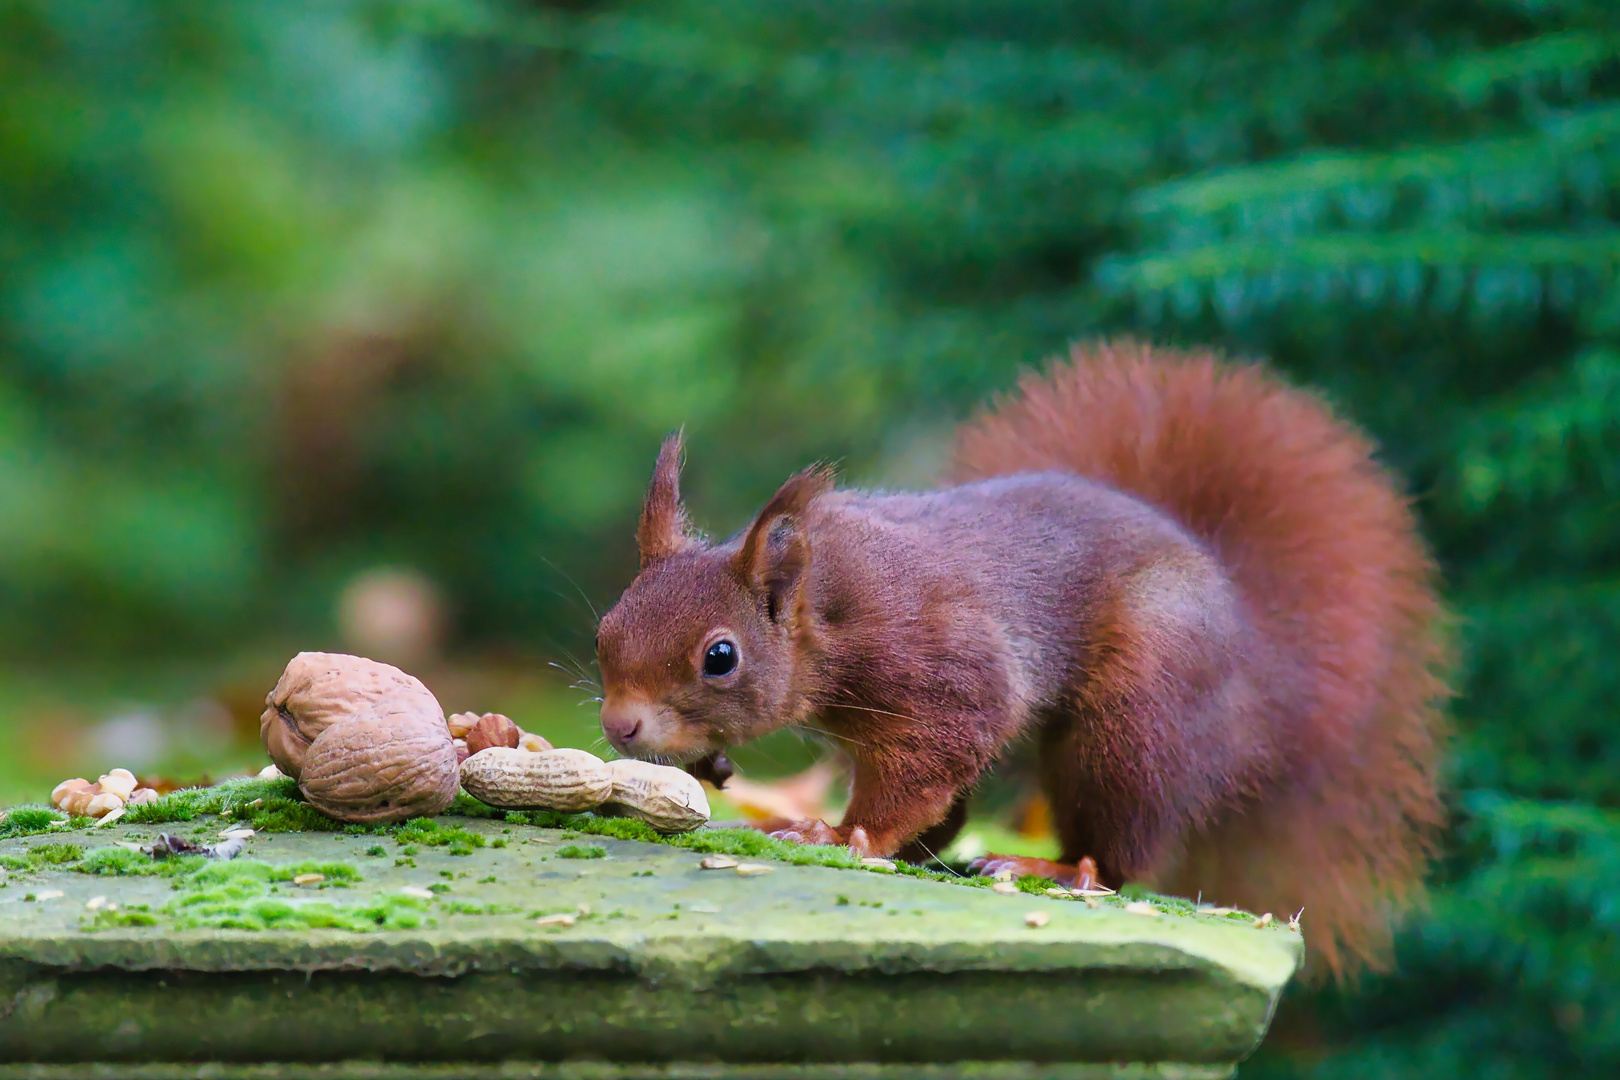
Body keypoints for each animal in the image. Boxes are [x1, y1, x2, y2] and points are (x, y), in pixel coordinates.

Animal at [592, 341, 1445, 977]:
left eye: (721, 656)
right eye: (605, 628)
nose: (620, 727)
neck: (827, 606)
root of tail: (1252, 668)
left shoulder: (943, 667)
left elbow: (927, 763)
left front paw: (839, 836)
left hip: (1136, 722)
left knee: (1118, 844)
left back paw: (1054, 870)